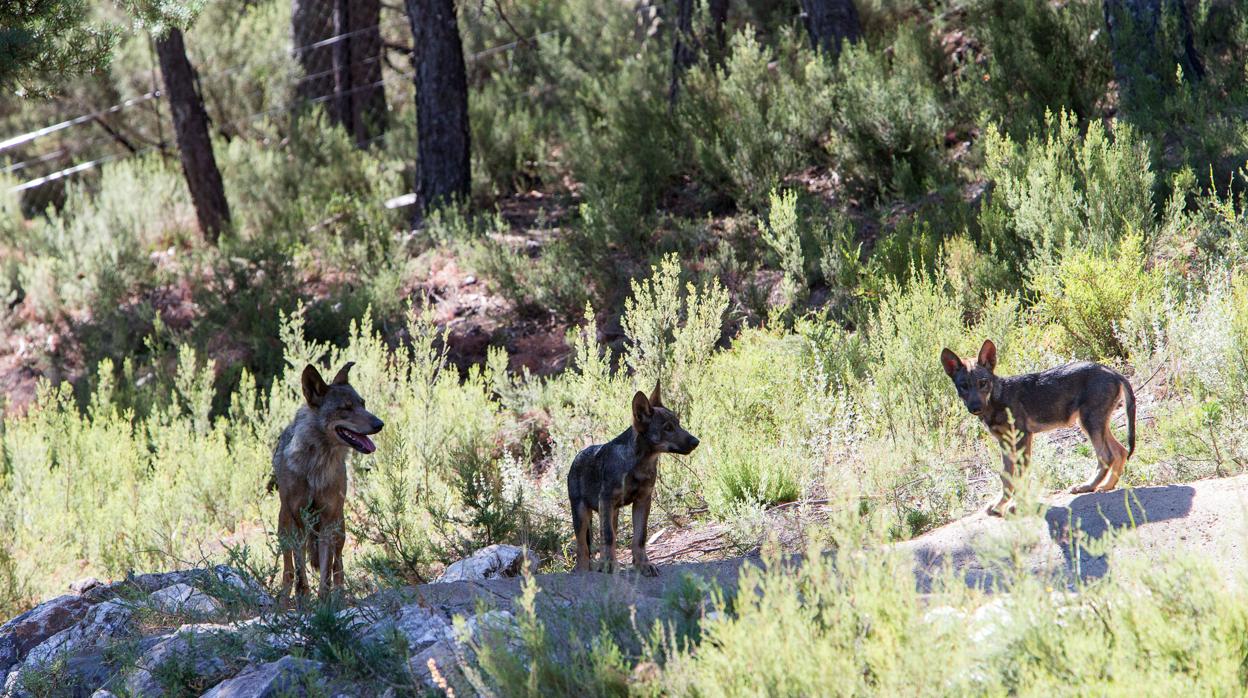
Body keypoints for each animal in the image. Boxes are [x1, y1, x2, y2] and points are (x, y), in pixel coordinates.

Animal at [569, 384, 698, 576]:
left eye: (678, 423)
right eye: (667, 428)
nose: (696, 441)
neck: (639, 464)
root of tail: (577, 457)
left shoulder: (643, 501)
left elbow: (639, 537)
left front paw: (643, 565)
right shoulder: (606, 500)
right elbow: (608, 537)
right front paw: (610, 565)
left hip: (612, 514)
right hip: (582, 514)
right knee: (583, 547)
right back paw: (584, 570)